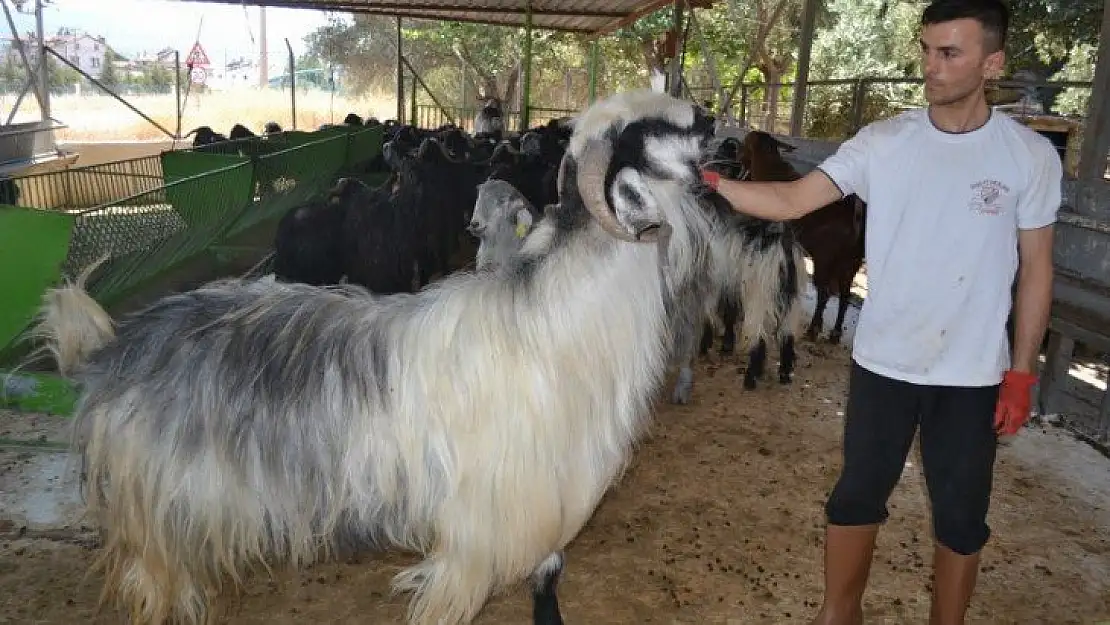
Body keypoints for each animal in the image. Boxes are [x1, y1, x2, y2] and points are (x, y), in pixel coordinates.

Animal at [32, 90, 719, 625]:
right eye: (645, 130)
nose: (715, 124)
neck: (557, 316)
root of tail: (113, 348)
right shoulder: (474, 534)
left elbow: (545, 586)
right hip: (152, 520)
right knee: (153, 588)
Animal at [745, 131, 865, 344]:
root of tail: (854, 211)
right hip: (851, 261)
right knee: (845, 294)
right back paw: (835, 333)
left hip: (826, 258)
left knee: (824, 291)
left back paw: (814, 328)